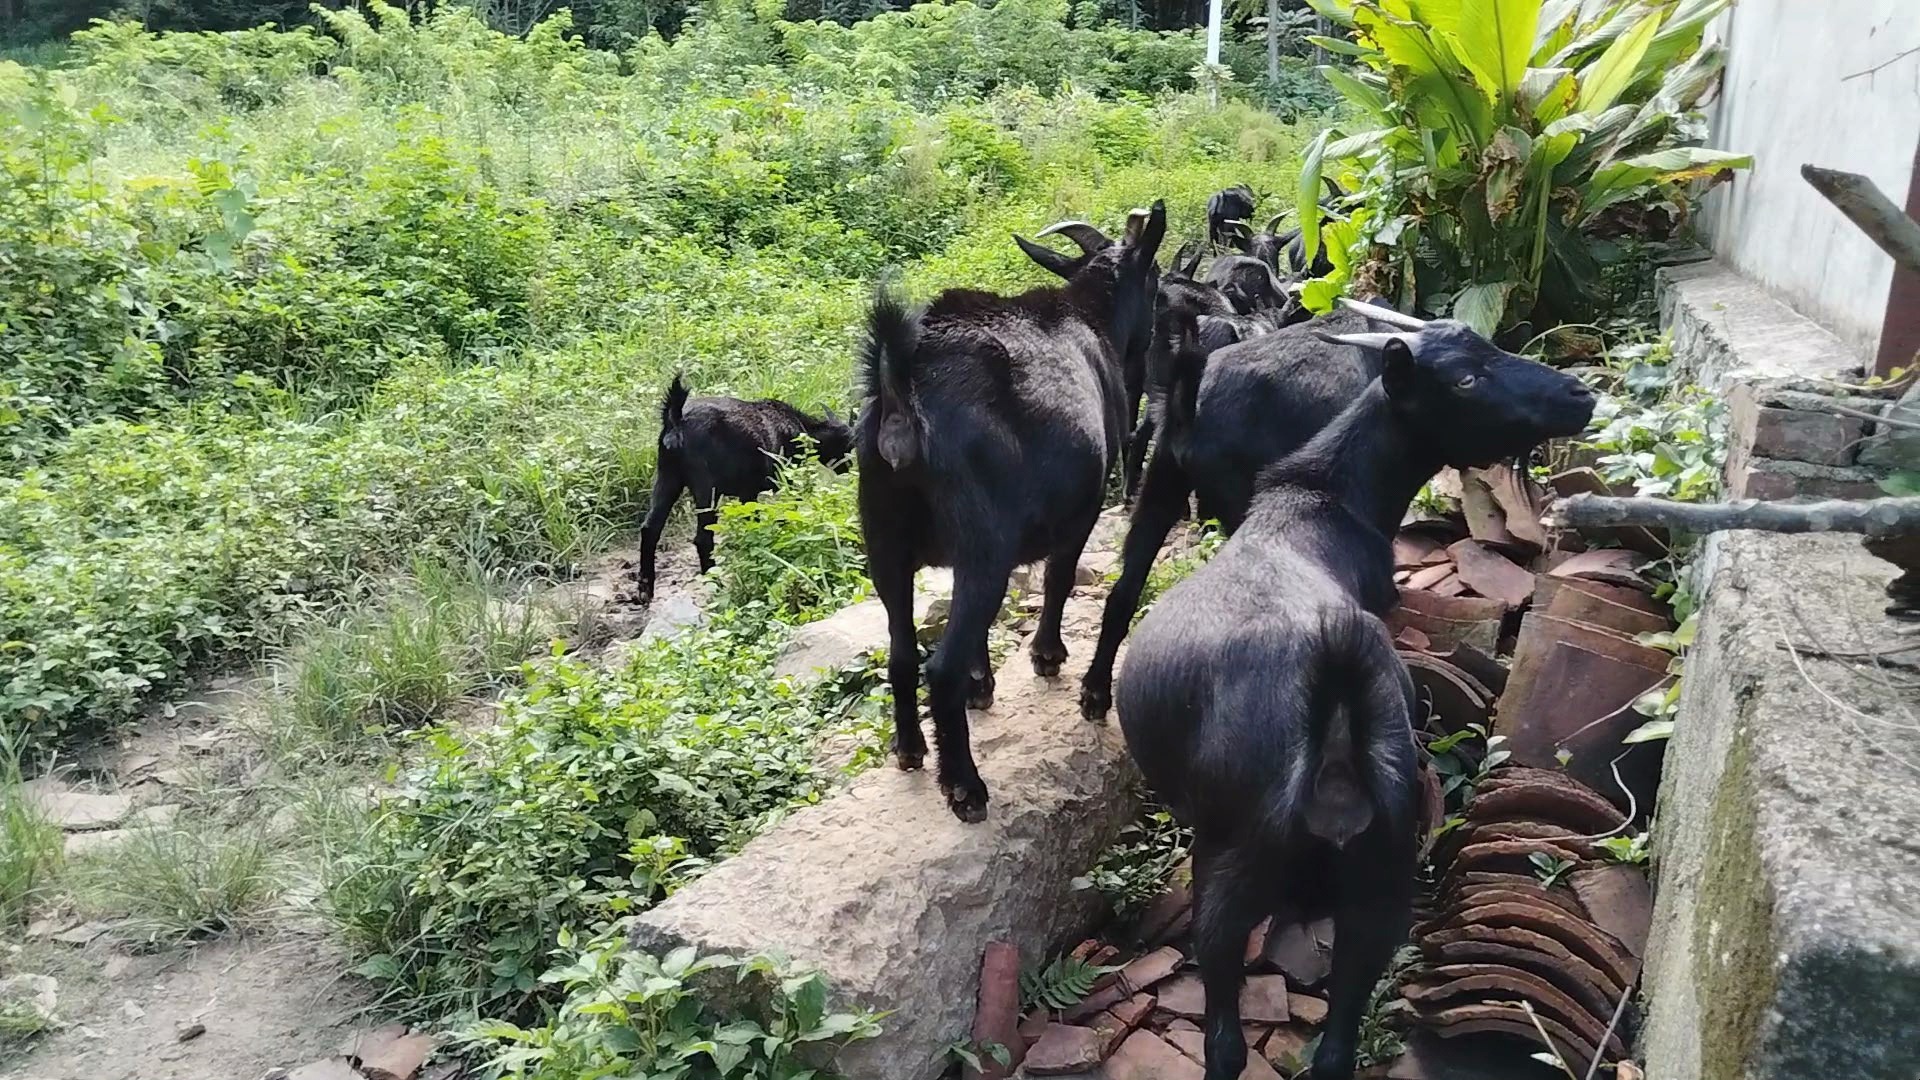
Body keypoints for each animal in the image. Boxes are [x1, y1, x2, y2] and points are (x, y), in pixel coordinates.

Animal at [637, 374, 856, 599]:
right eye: (849, 444)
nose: (848, 468)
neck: (801, 430)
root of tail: (676, 421)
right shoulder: (783, 482)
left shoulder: (747, 492)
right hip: (705, 486)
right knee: (703, 537)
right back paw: (715, 584)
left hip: (667, 478)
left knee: (650, 528)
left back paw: (645, 589)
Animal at [860, 201, 1167, 818]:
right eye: (1156, 279)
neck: (1087, 316)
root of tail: (901, 394)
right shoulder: (1081, 512)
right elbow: (1059, 579)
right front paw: (1047, 656)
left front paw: (984, 683)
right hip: (985, 544)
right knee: (939, 666)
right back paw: (965, 787)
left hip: (884, 545)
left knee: (901, 653)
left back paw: (910, 749)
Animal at [1113, 305, 1589, 1076]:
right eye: (1464, 376)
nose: (1581, 395)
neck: (1319, 504)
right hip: (1379, 892)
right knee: (1335, 1048)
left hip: (1232, 878)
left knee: (1226, 1041)